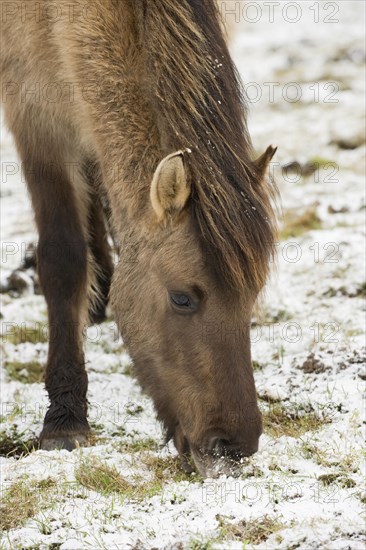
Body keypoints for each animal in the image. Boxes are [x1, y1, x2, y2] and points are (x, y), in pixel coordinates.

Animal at [0, 0, 276, 478]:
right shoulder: (31, 108)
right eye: (182, 298)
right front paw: (64, 420)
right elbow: (63, 260)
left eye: (253, 294)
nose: (234, 446)